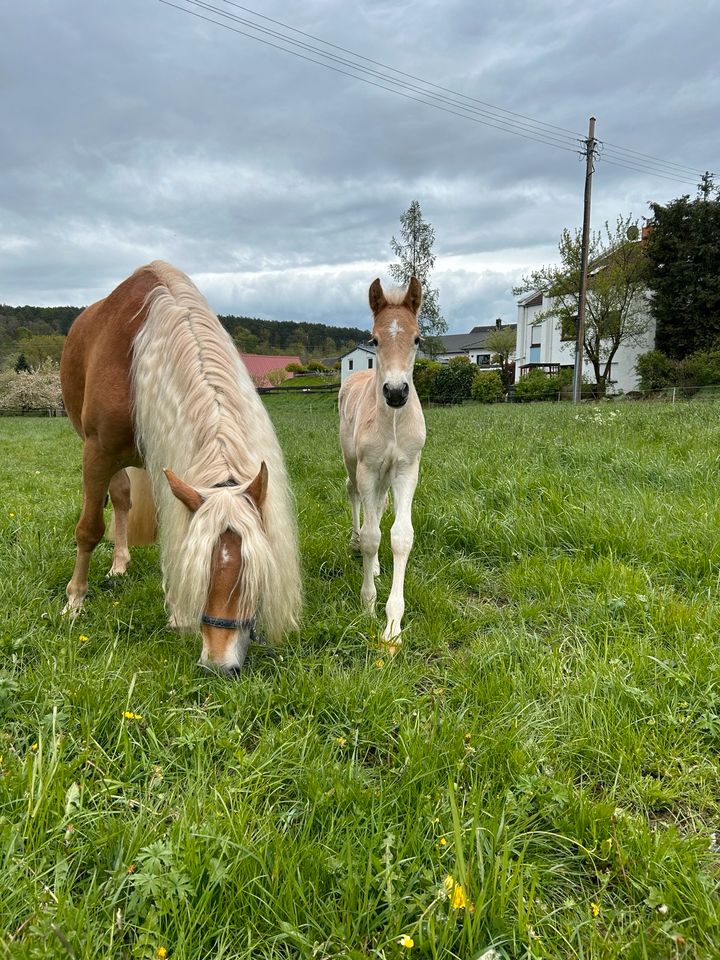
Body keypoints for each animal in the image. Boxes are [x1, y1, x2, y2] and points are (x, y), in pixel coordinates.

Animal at [58, 258, 300, 672]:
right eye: (201, 573)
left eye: (253, 577)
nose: (220, 664)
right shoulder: (97, 452)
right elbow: (88, 529)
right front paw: (75, 600)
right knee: (118, 498)